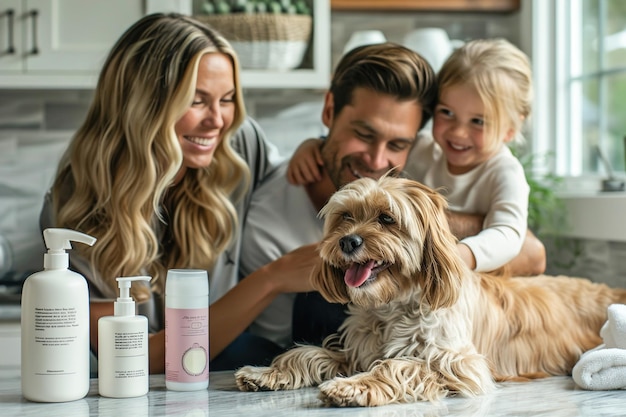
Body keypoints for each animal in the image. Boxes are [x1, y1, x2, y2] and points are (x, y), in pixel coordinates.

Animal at [234, 176, 624, 406]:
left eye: (386, 218)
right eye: (345, 216)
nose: (347, 241)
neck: (393, 305)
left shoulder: (460, 363)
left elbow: (397, 365)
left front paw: (351, 387)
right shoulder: (356, 352)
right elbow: (305, 354)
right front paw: (264, 373)